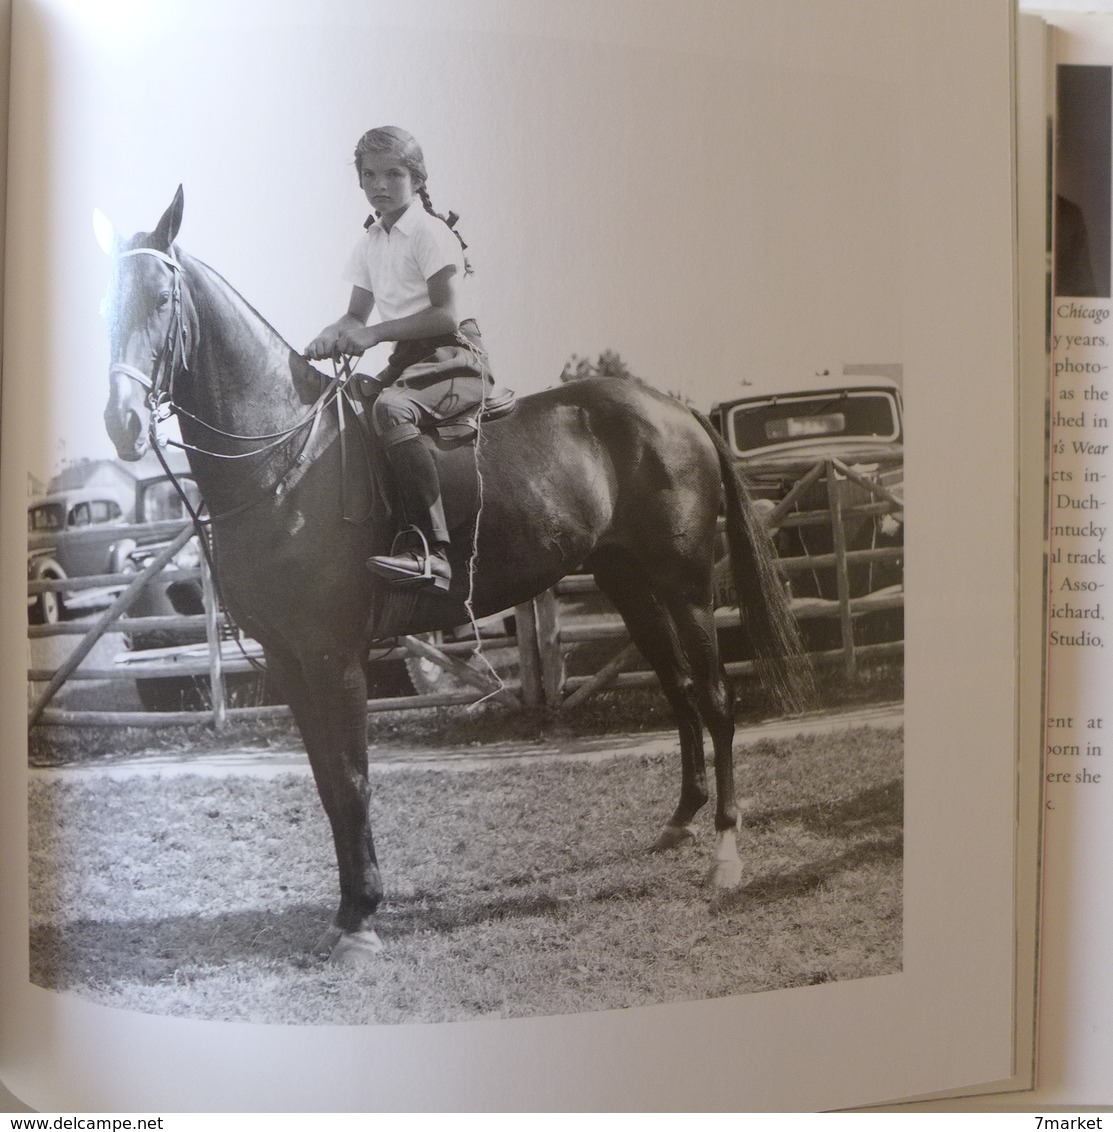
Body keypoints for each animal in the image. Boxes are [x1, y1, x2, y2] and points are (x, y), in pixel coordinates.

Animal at [100, 187, 810, 964]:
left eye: (161, 298)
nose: (121, 422)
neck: (285, 458)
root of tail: (674, 411)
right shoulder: (289, 662)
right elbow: (326, 784)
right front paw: (346, 911)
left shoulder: (333, 657)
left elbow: (352, 780)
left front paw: (362, 919)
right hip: (631, 589)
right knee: (680, 692)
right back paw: (680, 822)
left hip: (683, 588)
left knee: (714, 700)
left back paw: (725, 856)